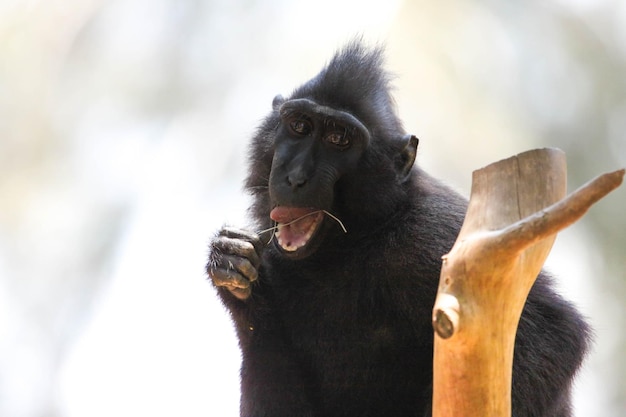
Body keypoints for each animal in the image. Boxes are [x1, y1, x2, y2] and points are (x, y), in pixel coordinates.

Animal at [206, 39, 588, 416]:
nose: (295, 177)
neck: (355, 240)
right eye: (299, 126)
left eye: (339, 138)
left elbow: (553, 333)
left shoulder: (432, 237)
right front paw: (234, 269)